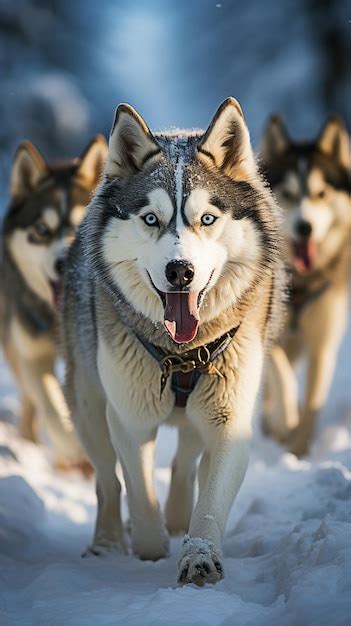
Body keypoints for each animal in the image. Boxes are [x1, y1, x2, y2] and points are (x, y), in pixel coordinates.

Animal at [0, 134, 107, 464]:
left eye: (80, 226)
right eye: (41, 230)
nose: (63, 263)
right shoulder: (32, 352)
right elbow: (50, 406)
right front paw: (74, 449)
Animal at [62, 95, 284, 584]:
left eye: (207, 218)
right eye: (151, 219)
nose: (180, 271)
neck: (181, 356)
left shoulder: (228, 418)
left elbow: (210, 502)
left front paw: (198, 556)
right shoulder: (129, 418)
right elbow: (139, 495)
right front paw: (150, 547)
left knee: (185, 464)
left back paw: (179, 516)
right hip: (88, 405)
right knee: (108, 480)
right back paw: (107, 542)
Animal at [262, 114, 351, 454]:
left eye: (321, 194)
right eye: (287, 194)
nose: (305, 227)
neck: (299, 283)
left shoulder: (322, 341)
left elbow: (314, 400)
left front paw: (298, 451)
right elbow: (281, 375)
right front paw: (285, 419)